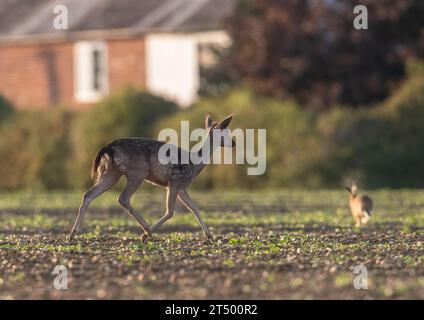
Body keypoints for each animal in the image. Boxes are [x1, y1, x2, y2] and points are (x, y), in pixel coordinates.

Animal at [65, 114, 235, 241]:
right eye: (226, 133)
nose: (233, 143)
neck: (195, 164)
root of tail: (108, 148)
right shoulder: (175, 181)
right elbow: (170, 211)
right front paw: (145, 235)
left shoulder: (181, 186)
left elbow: (195, 208)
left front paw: (210, 235)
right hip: (137, 172)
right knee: (123, 198)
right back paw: (147, 229)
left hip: (110, 172)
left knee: (88, 194)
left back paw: (72, 234)